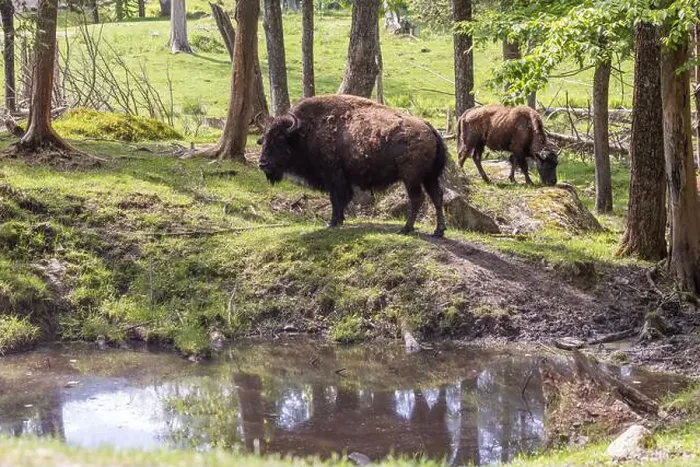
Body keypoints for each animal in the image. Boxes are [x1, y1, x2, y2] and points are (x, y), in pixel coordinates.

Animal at [257, 95, 447, 237]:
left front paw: (332, 222)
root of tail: (429, 127)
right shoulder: (339, 179)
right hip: (429, 177)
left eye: (280, 139)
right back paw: (438, 231)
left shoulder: (333, 176)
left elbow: (336, 199)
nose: (262, 163)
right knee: (437, 197)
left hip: (411, 178)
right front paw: (338, 220)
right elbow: (340, 199)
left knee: (417, 199)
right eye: (264, 139)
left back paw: (406, 229)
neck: (304, 132)